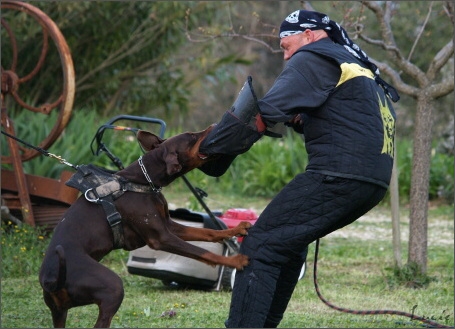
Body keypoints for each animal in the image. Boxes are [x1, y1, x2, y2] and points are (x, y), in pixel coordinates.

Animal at [40, 125, 253, 326]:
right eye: (192, 136)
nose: (214, 125)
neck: (145, 179)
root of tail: (51, 279)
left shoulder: (169, 226)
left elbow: (208, 232)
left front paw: (236, 229)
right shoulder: (160, 237)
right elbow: (203, 252)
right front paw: (236, 261)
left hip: (59, 312)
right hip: (112, 289)